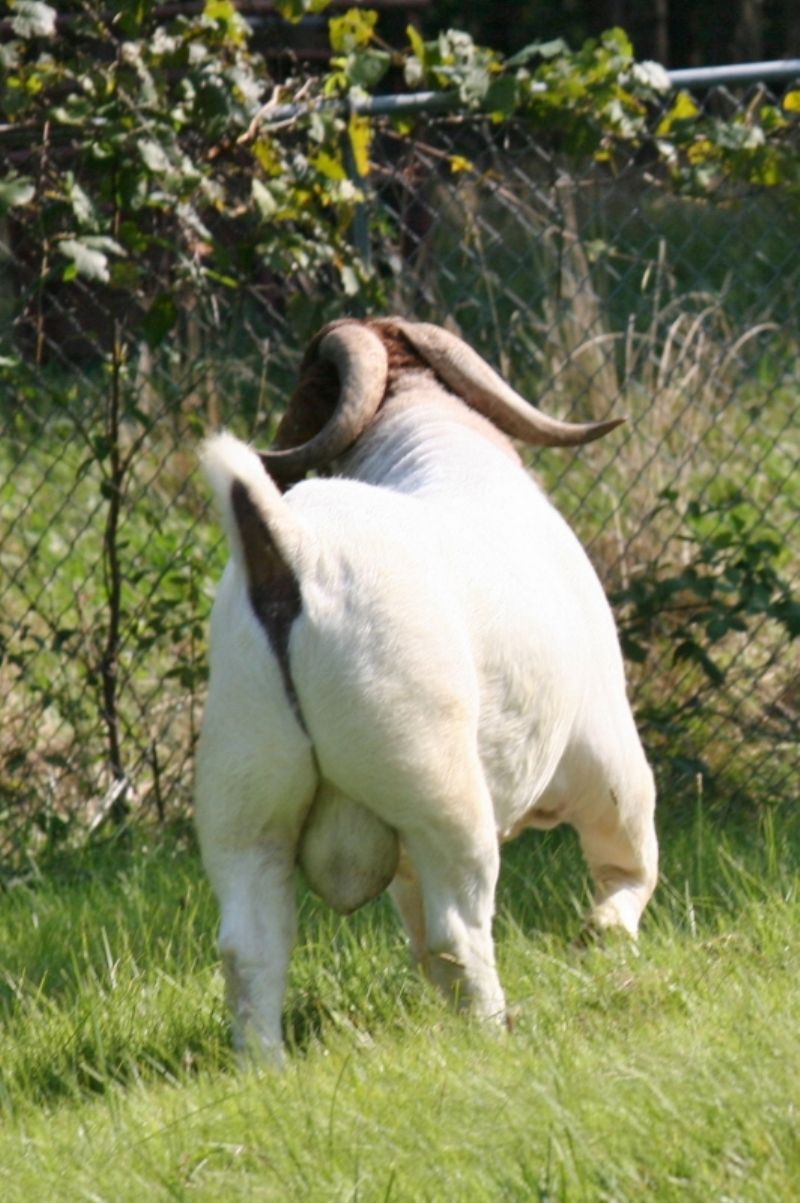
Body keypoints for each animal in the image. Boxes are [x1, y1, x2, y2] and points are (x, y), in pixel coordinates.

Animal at [193, 317, 654, 1053]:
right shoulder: (604, 753)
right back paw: (496, 1030)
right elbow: (628, 861)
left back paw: (266, 1065)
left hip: (246, 803)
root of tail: (290, 550)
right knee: (457, 931)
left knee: (252, 946)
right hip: (442, 794)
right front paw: (605, 935)